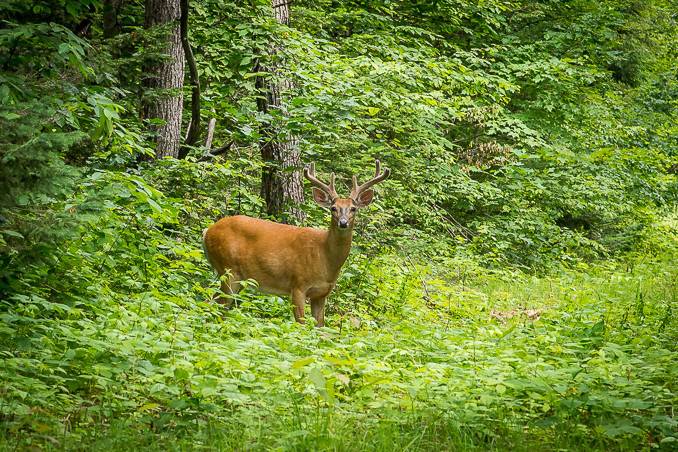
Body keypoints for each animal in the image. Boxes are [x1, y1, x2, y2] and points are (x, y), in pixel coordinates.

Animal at [202, 161, 390, 326]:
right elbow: (301, 324)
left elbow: (320, 328)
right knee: (215, 304)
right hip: (228, 269)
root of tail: (207, 231)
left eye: (353, 208)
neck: (324, 258)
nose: (343, 223)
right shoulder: (298, 285)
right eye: (333, 208)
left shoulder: (322, 293)